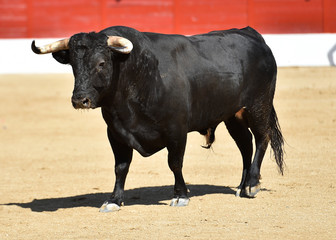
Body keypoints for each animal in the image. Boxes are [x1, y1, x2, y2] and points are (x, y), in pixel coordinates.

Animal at [31, 25, 284, 212]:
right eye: (74, 65)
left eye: (101, 63)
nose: (79, 99)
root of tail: (253, 35)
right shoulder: (116, 133)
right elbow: (120, 167)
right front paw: (113, 200)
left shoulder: (176, 130)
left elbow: (175, 163)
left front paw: (180, 196)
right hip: (233, 114)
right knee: (245, 145)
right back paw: (241, 186)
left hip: (258, 105)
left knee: (262, 138)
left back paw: (252, 184)